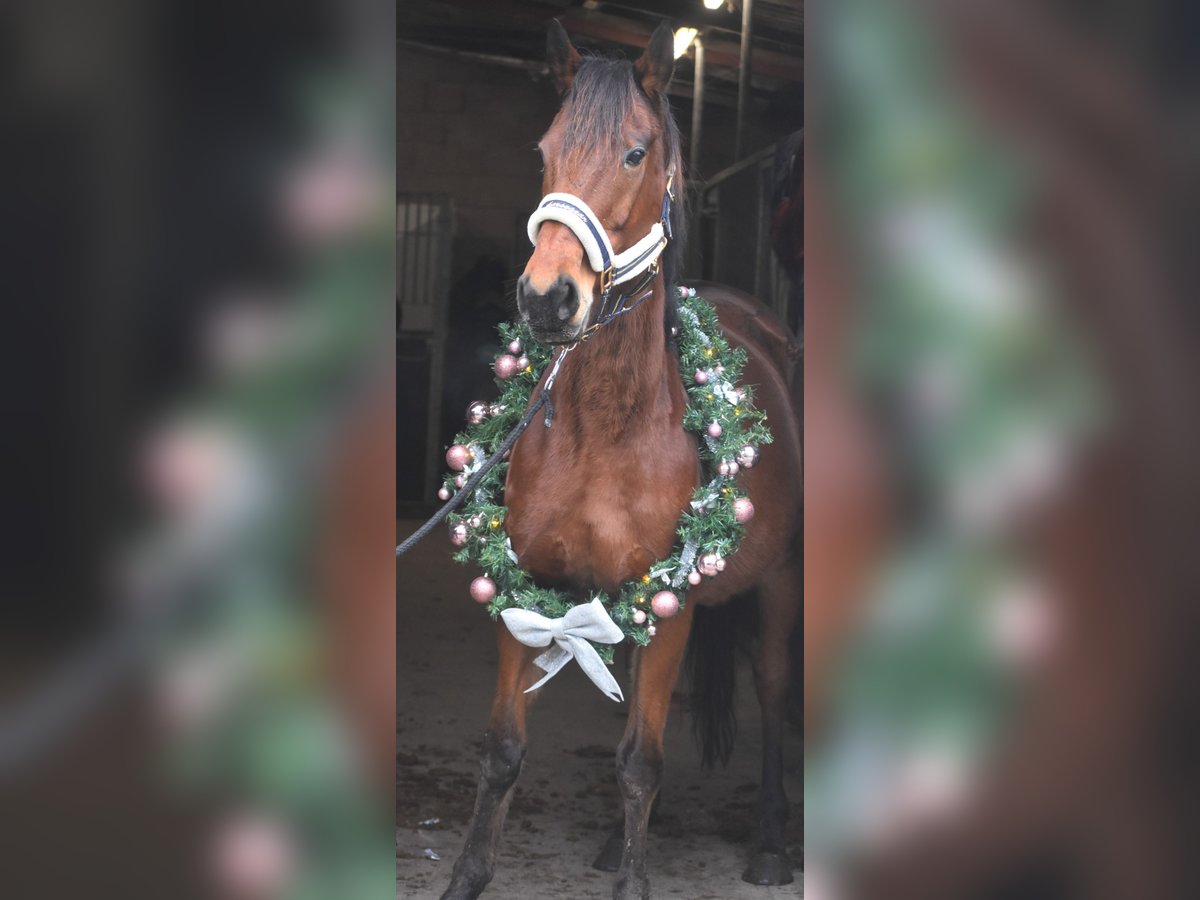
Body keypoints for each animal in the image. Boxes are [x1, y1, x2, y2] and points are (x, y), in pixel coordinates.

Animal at [436, 22, 801, 900]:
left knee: (774, 691)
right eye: (543, 151)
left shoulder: (671, 605)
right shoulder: (527, 589)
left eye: (635, 153)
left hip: (779, 580)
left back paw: (772, 841)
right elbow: (503, 753)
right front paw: (467, 877)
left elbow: (641, 762)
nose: (546, 299)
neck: (605, 429)